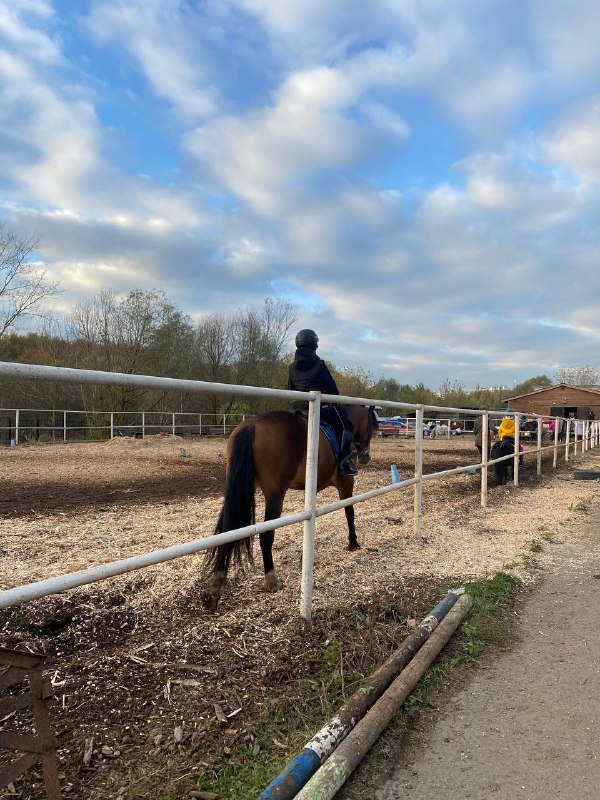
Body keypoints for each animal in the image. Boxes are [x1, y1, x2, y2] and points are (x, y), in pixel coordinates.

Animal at [203, 406, 380, 612]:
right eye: (371, 426)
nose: (365, 456)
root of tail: (251, 425)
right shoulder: (346, 483)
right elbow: (349, 512)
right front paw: (353, 542)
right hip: (275, 495)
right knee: (266, 535)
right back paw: (271, 580)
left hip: (237, 486)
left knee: (229, 530)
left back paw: (215, 588)